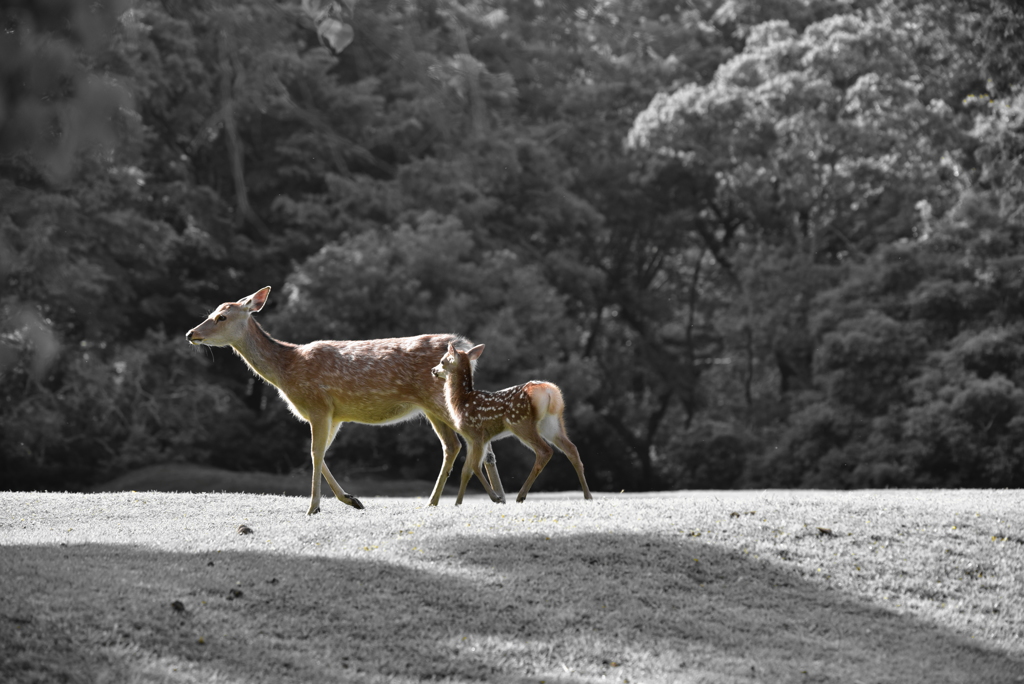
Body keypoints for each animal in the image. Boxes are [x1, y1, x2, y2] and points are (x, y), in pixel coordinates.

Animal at [186, 286, 505, 516]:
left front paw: (313, 507)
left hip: (441, 400)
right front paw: (352, 499)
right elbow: (322, 453)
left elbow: (314, 453)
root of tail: (465, 349)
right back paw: (438, 501)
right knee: (452, 446)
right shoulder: (335, 414)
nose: (191, 333)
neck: (288, 371)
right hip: (431, 407)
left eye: (222, 317)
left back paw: (496, 497)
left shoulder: (318, 405)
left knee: (477, 442)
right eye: (212, 311)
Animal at [430, 342, 593, 501]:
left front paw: (495, 497)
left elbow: (475, 467)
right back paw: (588, 496)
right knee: (571, 449)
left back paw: (521, 495)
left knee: (545, 451)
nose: (433, 370)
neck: (461, 401)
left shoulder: (477, 434)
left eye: (442, 361)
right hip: (551, 422)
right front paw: (458, 503)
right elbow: (466, 471)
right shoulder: (469, 439)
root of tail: (549, 391)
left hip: (520, 422)